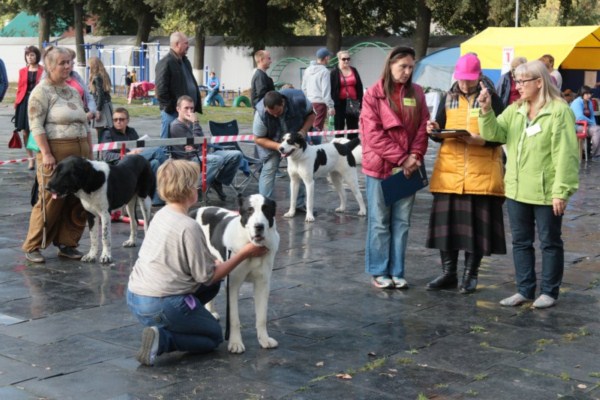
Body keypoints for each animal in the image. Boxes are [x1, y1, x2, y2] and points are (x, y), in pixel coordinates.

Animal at [195, 194, 279, 354]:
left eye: (266, 209)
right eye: (250, 210)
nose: (259, 226)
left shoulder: (263, 284)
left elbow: (262, 317)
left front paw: (264, 339)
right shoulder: (232, 285)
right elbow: (233, 318)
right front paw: (235, 343)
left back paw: (211, 311)